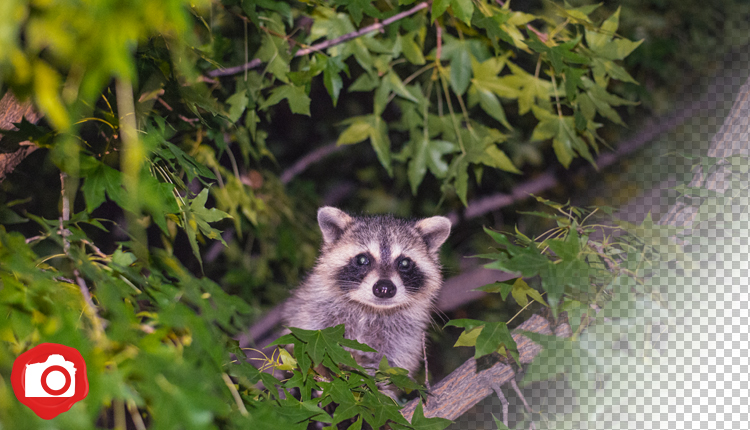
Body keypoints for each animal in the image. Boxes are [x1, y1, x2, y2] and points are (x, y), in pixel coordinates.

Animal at [284, 207, 452, 382]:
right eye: (362, 259)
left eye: (404, 263)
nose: (384, 288)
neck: (369, 310)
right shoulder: (313, 311)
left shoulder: (404, 335)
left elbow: (393, 367)